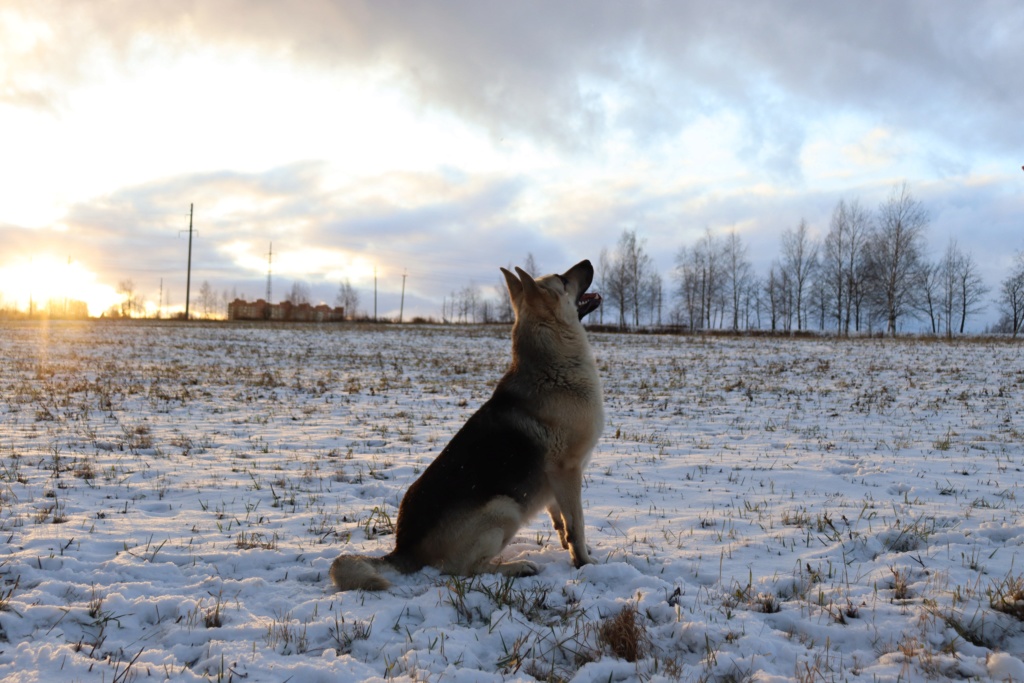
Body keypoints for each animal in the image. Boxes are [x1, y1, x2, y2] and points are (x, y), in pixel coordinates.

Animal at [327, 259, 602, 589]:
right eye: (562, 279)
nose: (587, 262)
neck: (554, 366)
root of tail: (402, 550)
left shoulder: (555, 482)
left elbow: (560, 521)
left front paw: (570, 549)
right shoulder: (568, 471)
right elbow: (577, 525)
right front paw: (583, 562)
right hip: (506, 508)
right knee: (465, 570)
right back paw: (516, 567)